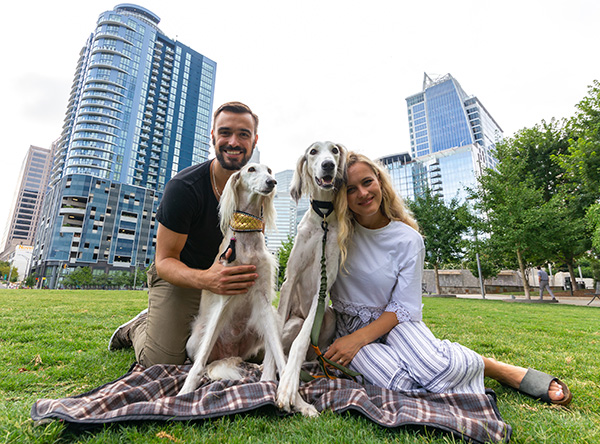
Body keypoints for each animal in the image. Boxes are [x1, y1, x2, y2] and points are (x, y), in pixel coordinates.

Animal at [177, 162, 288, 396]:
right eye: (251, 169)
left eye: (270, 171)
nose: (271, 182)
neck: (246, 240)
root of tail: (228, 353)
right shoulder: (224, 295)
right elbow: (198, 365)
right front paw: (184, 392)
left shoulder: (263, 299)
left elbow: (281, 358)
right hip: (194, 340)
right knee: (203, 359)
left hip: (266, 323)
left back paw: (263, 371)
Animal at [274, 141, 344, 416]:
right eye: (313, 151)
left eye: (335, 150)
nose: (328, 165)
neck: (322, 217)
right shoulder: (289, 280)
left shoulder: (321, 292)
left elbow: (301, 341)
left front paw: (290, 386)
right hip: (294, 321)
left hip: (329, 315)